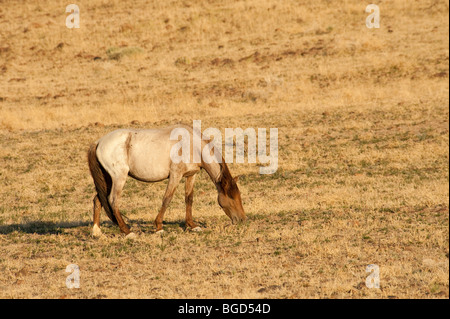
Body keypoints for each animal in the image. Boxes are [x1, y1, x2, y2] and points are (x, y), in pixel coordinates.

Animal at [87, 124, 246, 238]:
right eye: (231, 197)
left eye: (239, 196)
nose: (242, 219)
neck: (190, 144)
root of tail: (98, 142)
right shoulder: (175, 175)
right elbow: (167, 199)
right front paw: (159, 227)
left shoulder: (191, 175)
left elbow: (189, 199)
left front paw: (192, 225)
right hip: (119, 178)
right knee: (113, 200)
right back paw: (127, 231)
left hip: (107, 179)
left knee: (98, 199)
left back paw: (96, 231)